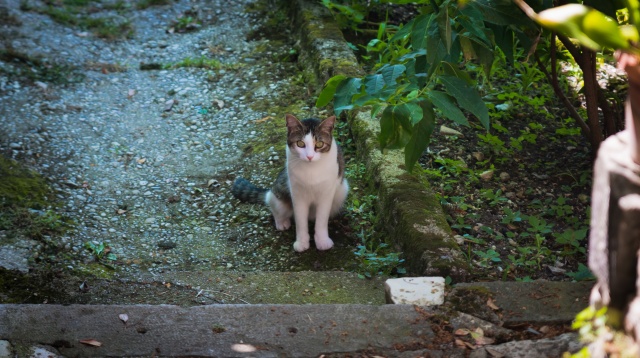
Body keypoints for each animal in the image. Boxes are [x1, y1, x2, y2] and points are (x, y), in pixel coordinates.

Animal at [231, 114, 348, 252]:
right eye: (300, 144)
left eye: (319, 144)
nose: (309, 156)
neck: (311, 170)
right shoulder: (297, 193)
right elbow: (300, 220)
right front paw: (302, 243)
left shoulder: (326, 194)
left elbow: (321, 219)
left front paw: (322, 241)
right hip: (277, 193)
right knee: (273, 204)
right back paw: (281, 222)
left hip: (342, 190)